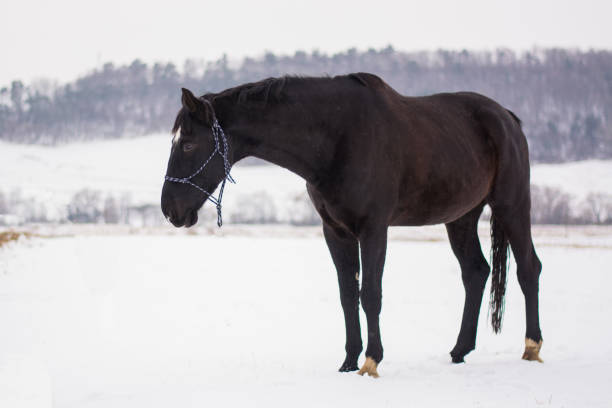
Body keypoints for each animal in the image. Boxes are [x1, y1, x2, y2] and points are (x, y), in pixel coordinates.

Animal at [160, 73, 544, 376]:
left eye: (189, 143)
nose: (170, 210)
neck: (338, 139)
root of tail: (507, 118)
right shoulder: (336, 231)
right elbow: (348, 294)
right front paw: (348, 361)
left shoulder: (374, 229)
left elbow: (370, 294)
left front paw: (371, 362)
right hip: (461, 217)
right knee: (476, 272)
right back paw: (459, 351)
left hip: (511, 205)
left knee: (529, 268)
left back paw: (532, 347)